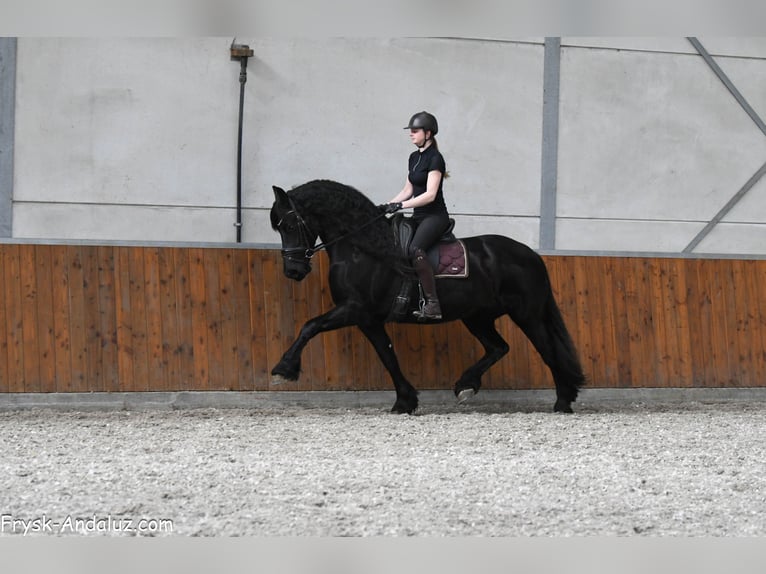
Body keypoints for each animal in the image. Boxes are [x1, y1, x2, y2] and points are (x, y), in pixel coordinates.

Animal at [269, 179, 585, 414]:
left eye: (289, 225)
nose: (293, 271)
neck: (363, 250)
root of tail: (531, 254)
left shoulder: (353, 309)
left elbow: (310, 326)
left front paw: (284, 368)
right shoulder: (368, 318)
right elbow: (387, 355)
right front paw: (405, 401)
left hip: (527, 315)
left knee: (547, 350)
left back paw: (563, 401)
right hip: (478, 317)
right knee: (499, 348)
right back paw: (466, 385)